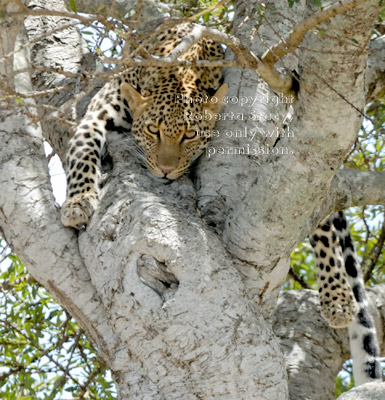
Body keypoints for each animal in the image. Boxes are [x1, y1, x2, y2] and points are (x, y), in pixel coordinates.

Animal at [60, 23, 226, 230]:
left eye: (190, 135)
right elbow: (82, 155)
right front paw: (78, 204)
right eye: (153, 130)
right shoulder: (96, 116)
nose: (165, 170)